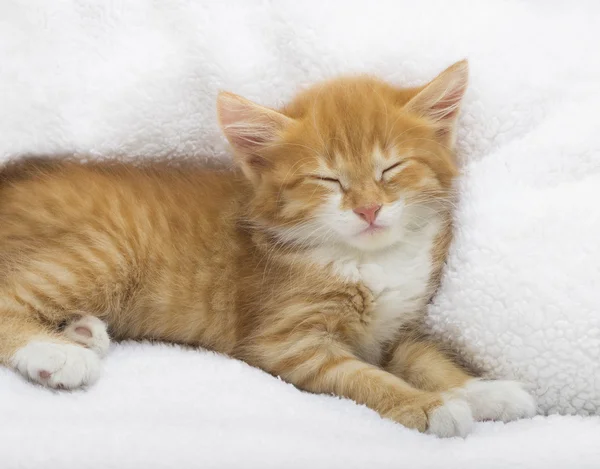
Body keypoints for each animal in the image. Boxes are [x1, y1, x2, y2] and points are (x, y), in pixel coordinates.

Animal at [0, 60, 536, 436]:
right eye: (327, 179)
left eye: (391, 168)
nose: (368, 209)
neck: (366, 259)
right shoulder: (288, 341)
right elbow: (363, 378)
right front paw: (431, 406)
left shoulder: (396, 327)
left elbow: (425, 359)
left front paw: (484, 390)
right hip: (104, 251)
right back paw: (56, 353)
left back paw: (81, 331)